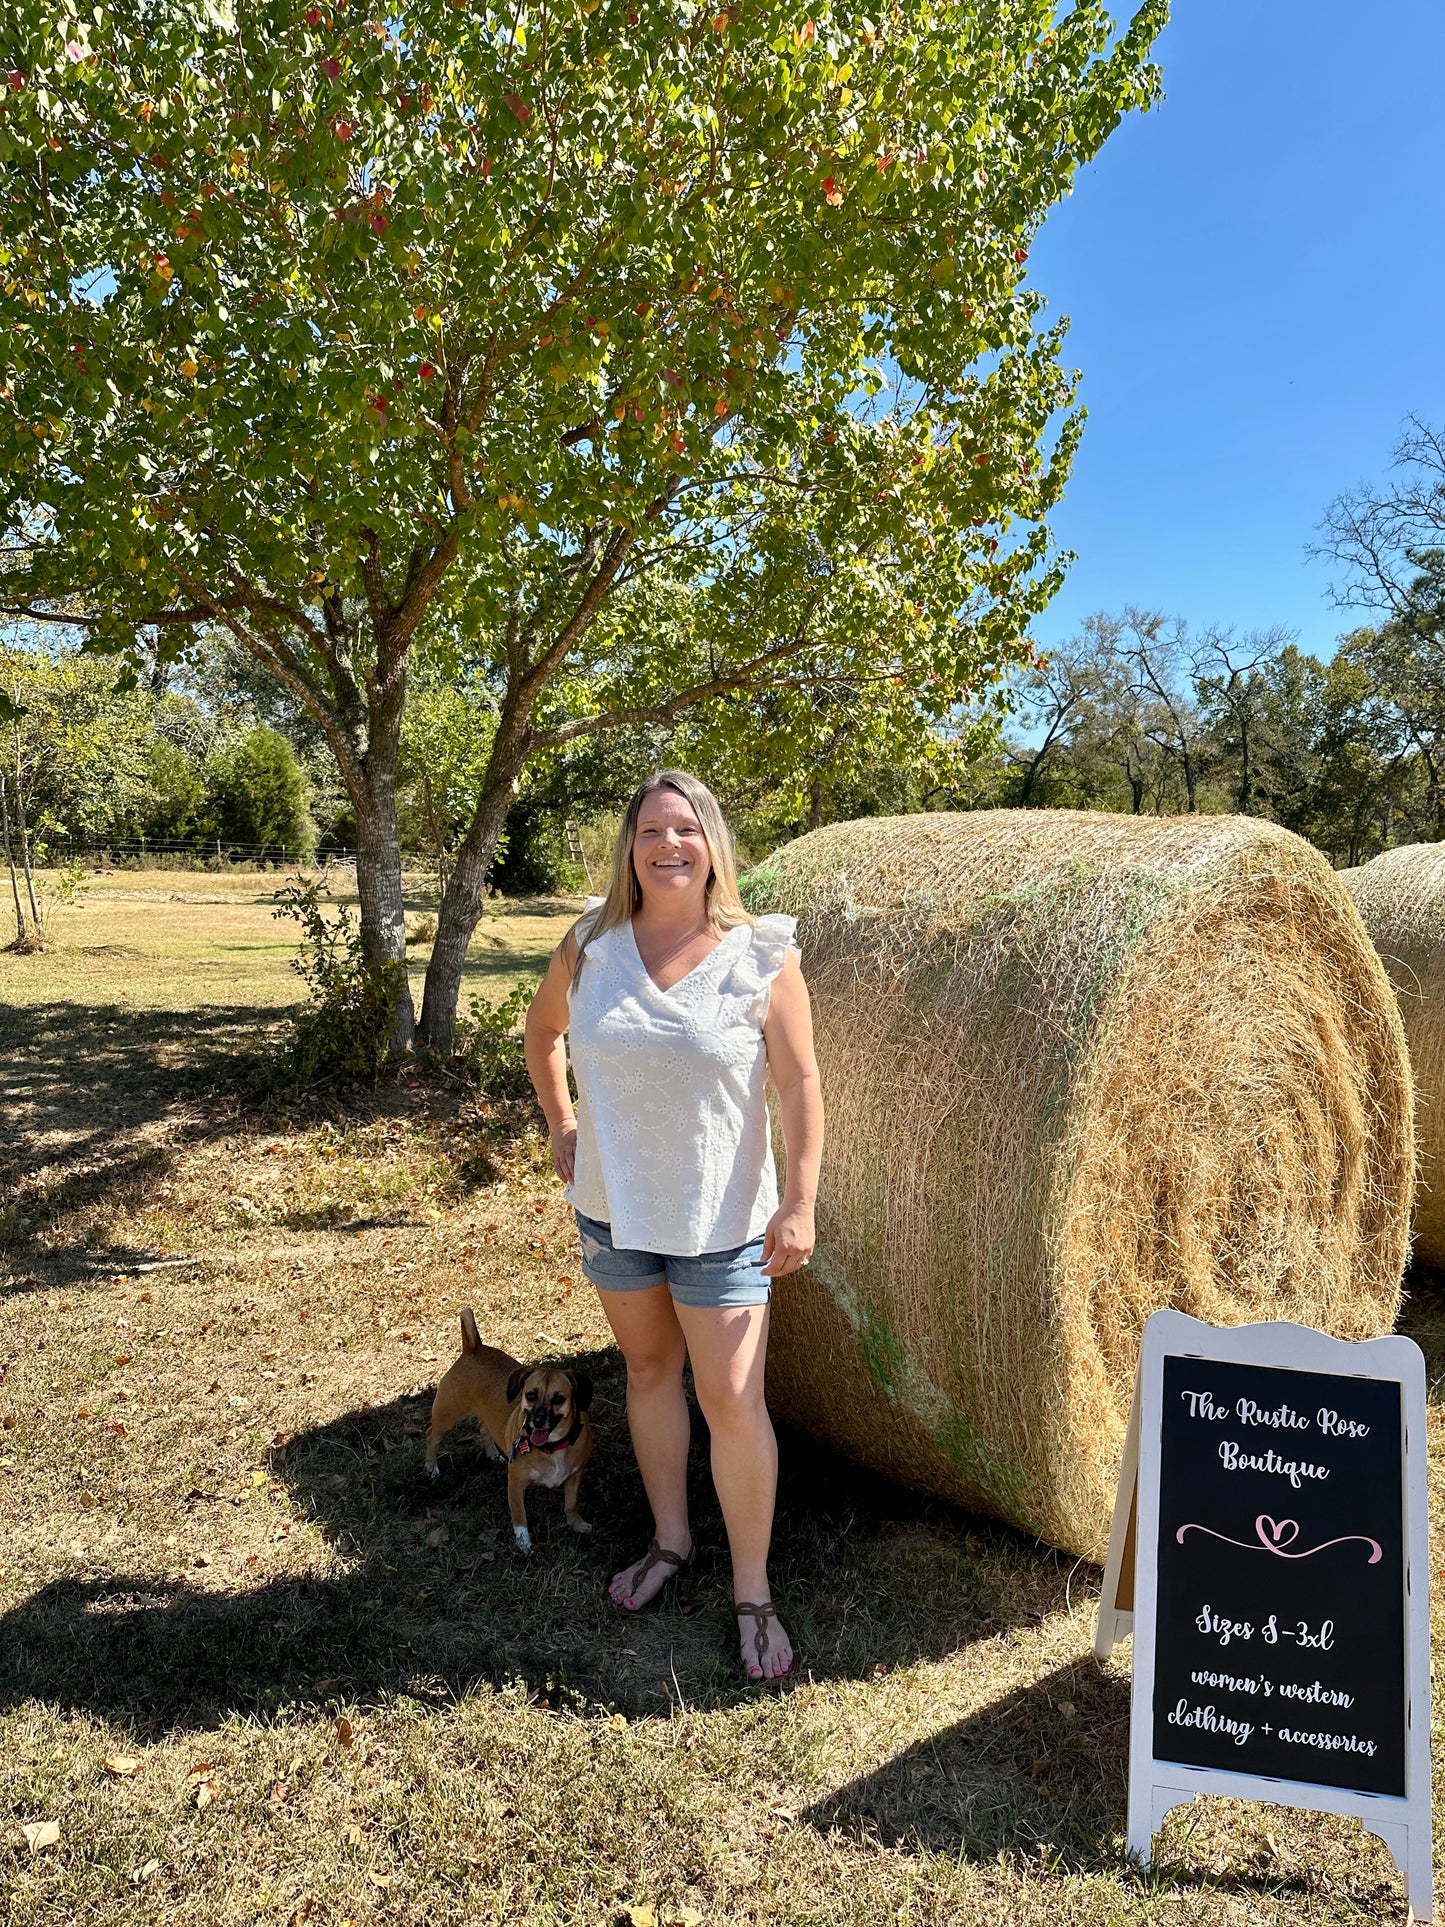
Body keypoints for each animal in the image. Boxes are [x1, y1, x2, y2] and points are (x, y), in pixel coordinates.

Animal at [423, 1310, 593, 1549]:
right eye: (530, 1395)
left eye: (559, 1399)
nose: (537, 1420)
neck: (551, 1447)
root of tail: (473, 1348)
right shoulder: (515, 1485)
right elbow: (520, 1518)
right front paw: (524, 1545)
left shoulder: (575, 1475)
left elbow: (570, 1504)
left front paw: (577, 1524)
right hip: (446, 1417)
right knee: (432, 1437)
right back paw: (431, 1468)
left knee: (483, 1429)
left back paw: (493, 1454)